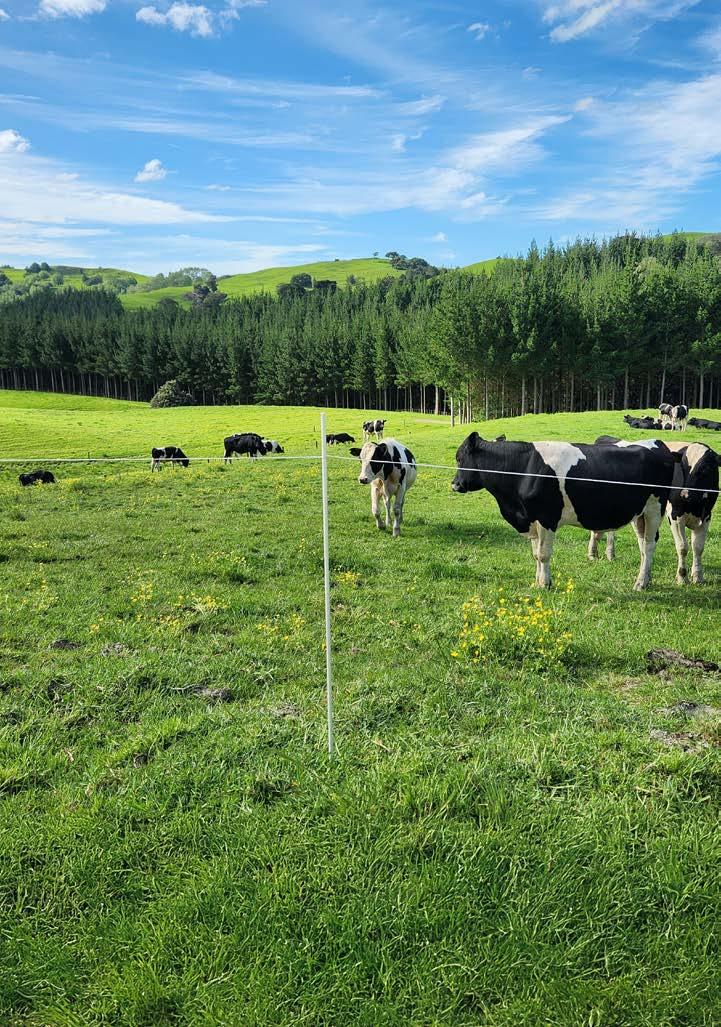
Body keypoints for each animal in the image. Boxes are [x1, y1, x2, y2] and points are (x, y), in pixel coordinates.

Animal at [451, 433, 681, 590]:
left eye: (460, 458)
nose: (455, 484)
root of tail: (660, 445)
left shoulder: (546, 518)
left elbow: (543, 554)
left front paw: (545, 584)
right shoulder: (532, 519)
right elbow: (535, 554)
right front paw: (537, 581)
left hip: (655, 508)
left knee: (649, 544)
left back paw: (640, 583)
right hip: (639, 514)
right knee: (643, 545)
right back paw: (646, 579)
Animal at [589, 437, 720, 584]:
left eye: (706, 468)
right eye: (682, 467)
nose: (684, 494)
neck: (696, 505)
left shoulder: (706, 516)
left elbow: (698, 547)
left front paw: (698, 576)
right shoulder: (675, 516)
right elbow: (682, 547)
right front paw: (682, 577)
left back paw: (603, 553)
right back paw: (598, 554)